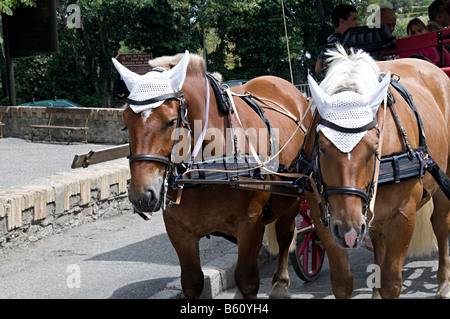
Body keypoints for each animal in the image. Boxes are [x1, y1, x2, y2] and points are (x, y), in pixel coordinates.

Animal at [114, 51, 310, 298]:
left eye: (171, 122)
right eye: (125, 122)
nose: (142, 194)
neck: (207, 169)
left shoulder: (250, 222)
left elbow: (247, 279)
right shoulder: (178, 230)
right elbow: (192, 282)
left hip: (293, 198)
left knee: (286, 235)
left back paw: (280, 285)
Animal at [302, 45, 450, 300]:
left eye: (373, 149)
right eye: (321, 147)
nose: (349, 230)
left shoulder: (402, 216)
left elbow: (392, 283)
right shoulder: (325, 219)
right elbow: (342, 283)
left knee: (440, 225)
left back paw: (443, 284)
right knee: (378, 241)